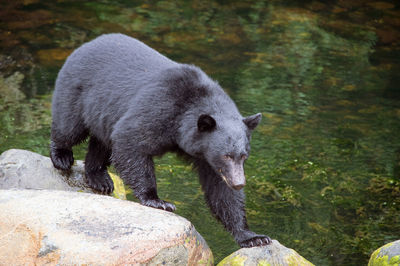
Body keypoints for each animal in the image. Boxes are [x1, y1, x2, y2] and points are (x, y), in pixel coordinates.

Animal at [49, 33, 268, 247]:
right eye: (226, 156)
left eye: (243, 156)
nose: (239, 183)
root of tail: (85, 45)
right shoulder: (161, 108)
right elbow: (130, 139)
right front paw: (158, 200)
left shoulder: (207, 157)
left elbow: (221, 191)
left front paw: (252, 236)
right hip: (79, 91)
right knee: (69, 126)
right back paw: (62, 156)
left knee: (101, 143)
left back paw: (99, 178)